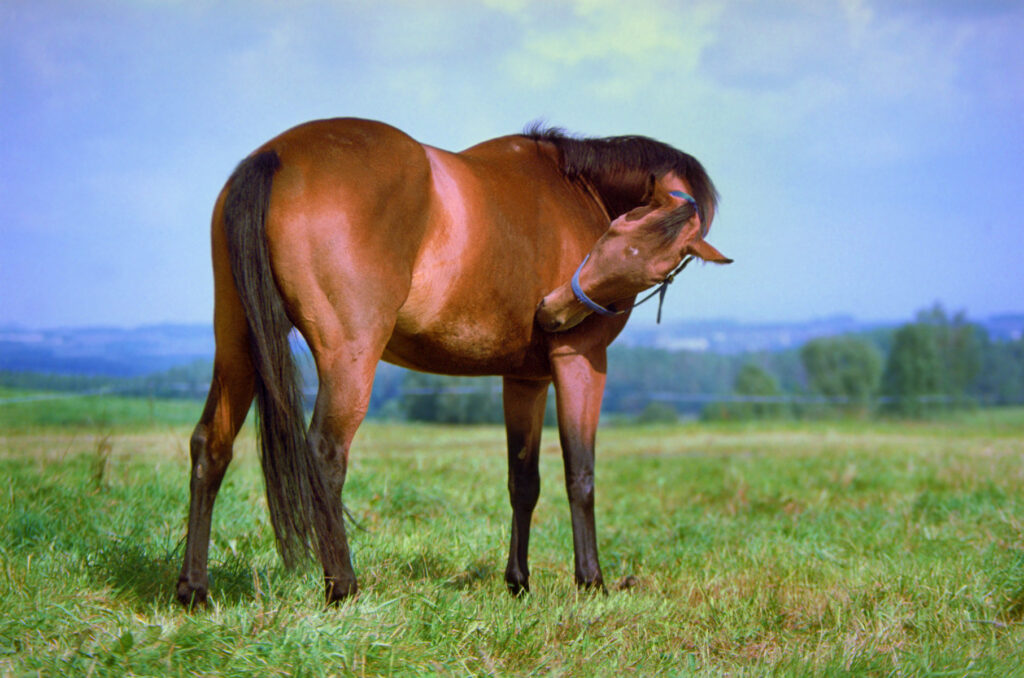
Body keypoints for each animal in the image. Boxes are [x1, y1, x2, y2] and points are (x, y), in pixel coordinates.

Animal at [177, 118, 730, 607]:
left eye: (657, 266)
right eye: (615, 231)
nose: (551, 312)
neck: (576, 188)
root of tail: (276, 155)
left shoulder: (525, 378)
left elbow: (524, 481)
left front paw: (519, 583)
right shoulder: (581, 361)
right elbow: (581, 474)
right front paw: (591, 582)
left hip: (237, 344)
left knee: (211, 445)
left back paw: (194, 589)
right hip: (349, 355)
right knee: (325, 454)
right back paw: (343, 588)